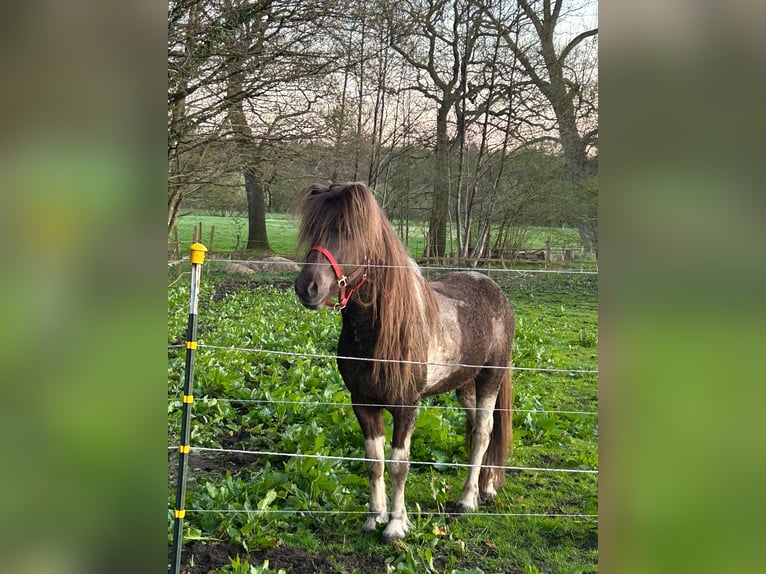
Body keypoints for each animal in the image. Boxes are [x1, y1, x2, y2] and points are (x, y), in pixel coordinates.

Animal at [293, 182, 514, 543]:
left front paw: (396, 526)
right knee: (475, 431)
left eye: (347, 231)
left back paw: (468, 499)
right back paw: (486, 488)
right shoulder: (363, 404)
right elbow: (374, 462)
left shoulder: (406, 406)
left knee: (483, 432)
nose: (307, 287)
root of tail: (494, 289)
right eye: (312, 230)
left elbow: (399, 465)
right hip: (464, 385)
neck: (379, 333)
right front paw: (374, 518)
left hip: (490, 378)